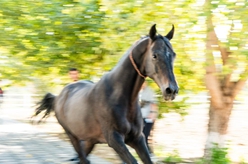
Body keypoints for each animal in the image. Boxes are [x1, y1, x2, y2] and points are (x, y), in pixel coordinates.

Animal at [34, 24, 179, 164]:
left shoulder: (137, 138)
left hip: (90, 140)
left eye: (173, 54)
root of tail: (58, 97)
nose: (171, 90)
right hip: (73, 136)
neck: (119, 97)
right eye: (154, 55)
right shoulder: (114, 139)